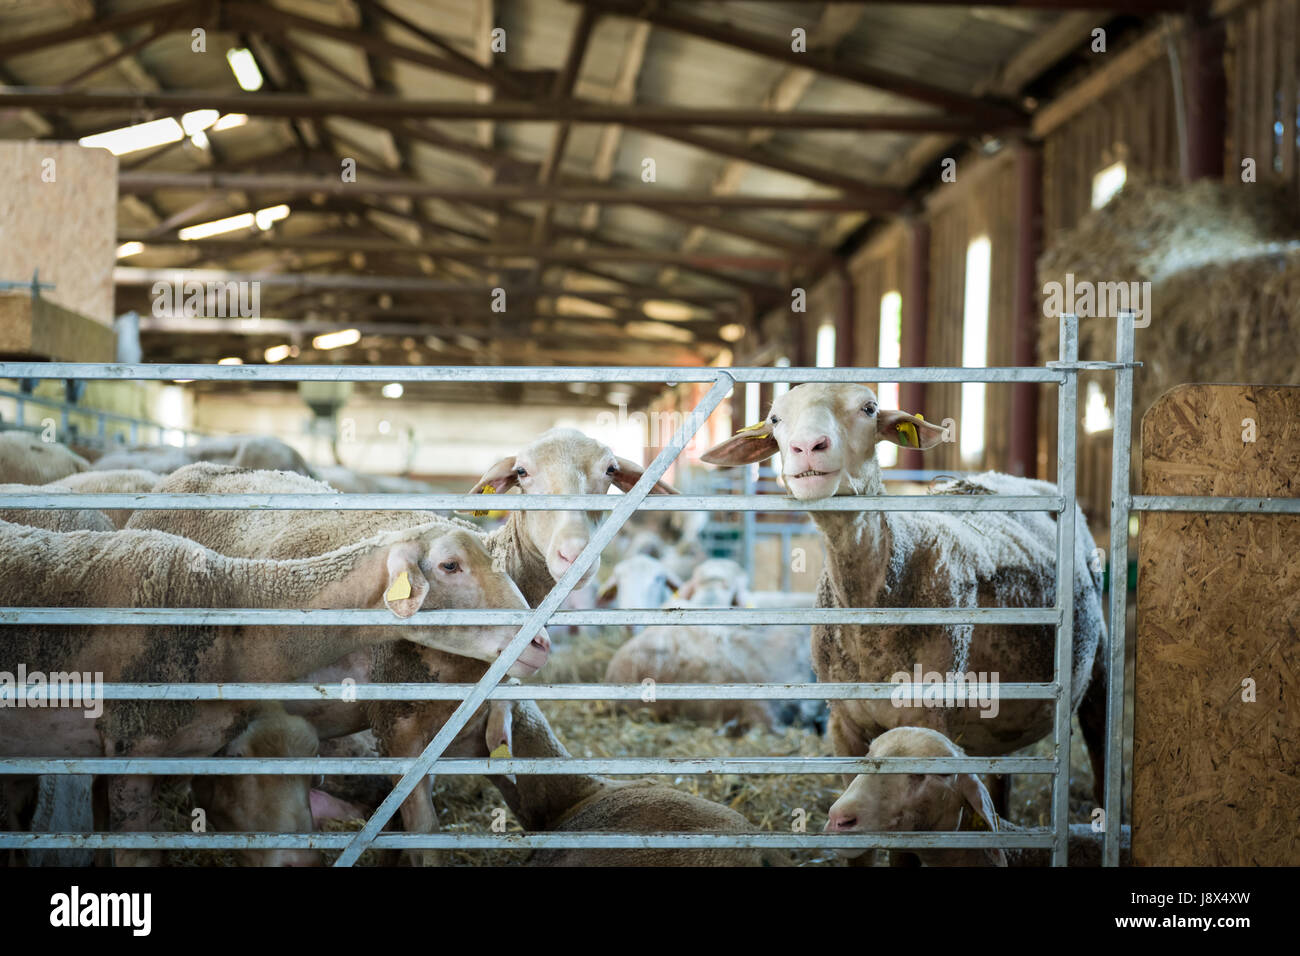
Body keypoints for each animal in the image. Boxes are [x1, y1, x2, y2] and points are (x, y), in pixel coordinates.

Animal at [702, 385, 1107, 811]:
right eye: (775, 419)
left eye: (869, 409)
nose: (808, 446)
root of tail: (1013, 477)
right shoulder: (842, 725)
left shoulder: (928, 720)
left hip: (1098, 658)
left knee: (1098, 732)